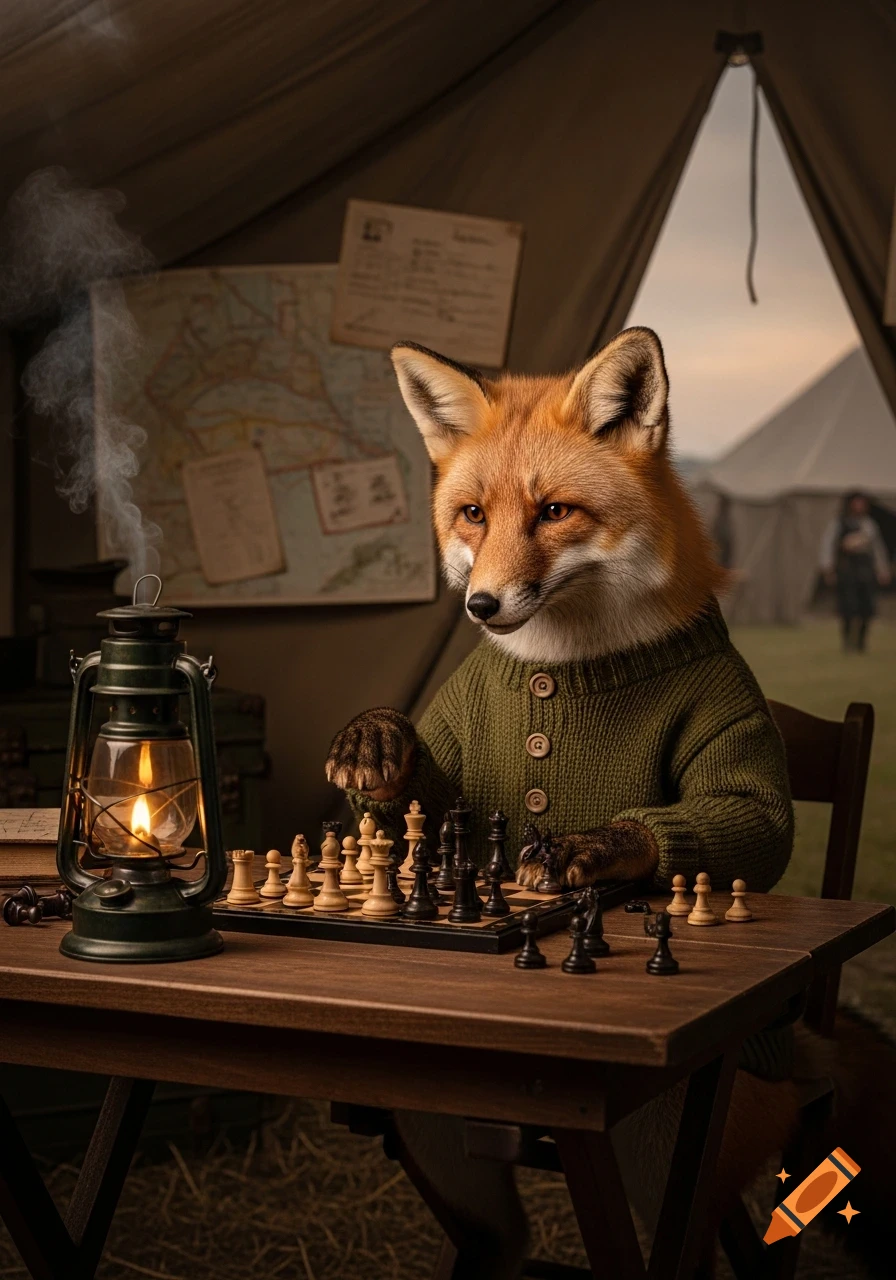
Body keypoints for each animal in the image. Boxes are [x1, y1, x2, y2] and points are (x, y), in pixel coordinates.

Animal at [326, 328, 895, 1277]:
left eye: (554, 512)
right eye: (472, 515)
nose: (480, 603)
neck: (571, 661)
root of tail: (808, 1053)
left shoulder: (730, 725)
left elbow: (746, 824)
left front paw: (587, 848)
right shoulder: (445, 805)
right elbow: (417, 800)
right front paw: (377, 741)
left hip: (677, 1142)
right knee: (496, 1232)